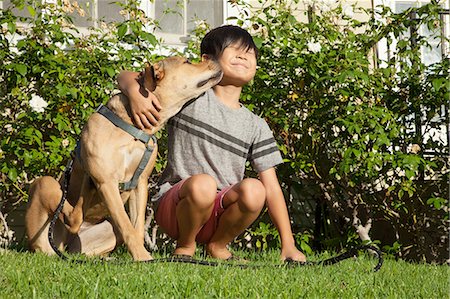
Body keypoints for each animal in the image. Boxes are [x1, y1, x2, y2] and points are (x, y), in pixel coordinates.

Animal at [25, 57, 222, 262]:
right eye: (188, 62)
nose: (214, 58)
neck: (133, 128)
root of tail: (62, 247)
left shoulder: (140, 183)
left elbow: (136, 227)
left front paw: (140, 256)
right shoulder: (107, 182)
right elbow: (127, 225)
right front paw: (143, 257)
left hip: (100, 234)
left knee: (84, 246)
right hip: (44, 187)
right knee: (68, 219)